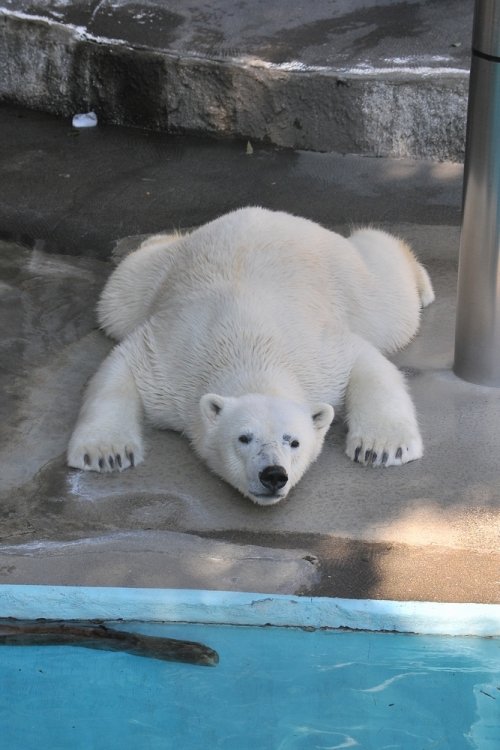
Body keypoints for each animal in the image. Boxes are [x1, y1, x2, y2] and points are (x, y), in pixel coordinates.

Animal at [66, 209, 434, 508]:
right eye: (244, 438)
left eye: (293, 441)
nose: (273, 475)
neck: (251, 351)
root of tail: (273, 214)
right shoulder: (173, 356)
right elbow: (122, 367)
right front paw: (107, 454)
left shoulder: (319, 355)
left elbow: (366, 361)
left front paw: (381, 448)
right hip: (155, 278)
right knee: (119, 299)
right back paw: (159, 237)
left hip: (345, 277)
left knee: (389, 305)